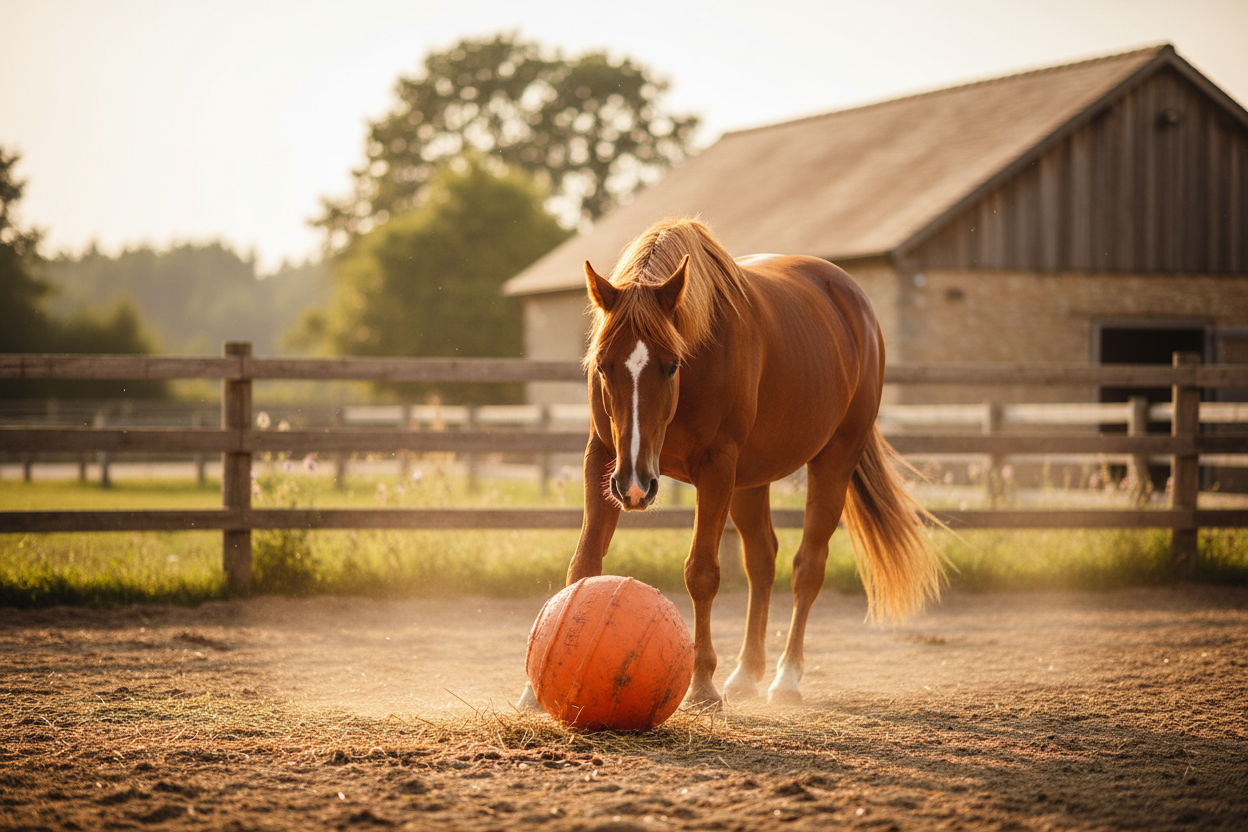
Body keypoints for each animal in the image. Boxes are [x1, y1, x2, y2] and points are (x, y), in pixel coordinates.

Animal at [523, 217, 945, 708]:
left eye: (672, 365)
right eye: (604, 365)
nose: (636, 488)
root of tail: (853, 301)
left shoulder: (716, 467)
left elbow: (702, 573)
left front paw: (702, 684)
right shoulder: (605, 459)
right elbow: (584, 565)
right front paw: (534, 689)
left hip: (833, 461)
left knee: (807, 567)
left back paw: (786, 679)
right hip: (747, 481)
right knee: (762, 560)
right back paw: (746, 673)